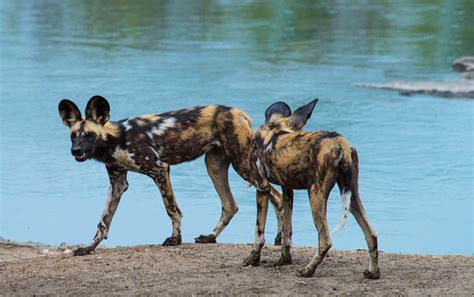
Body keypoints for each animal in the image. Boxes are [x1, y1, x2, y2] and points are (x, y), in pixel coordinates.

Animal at [57, 96, 284, 256]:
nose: (76, 151)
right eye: (73, 135)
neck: (117, 139)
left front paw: (175, 239)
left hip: (243, 165)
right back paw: (210, 237)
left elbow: (172, 209)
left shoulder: (160, 169)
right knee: (231, 205)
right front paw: (89, 248)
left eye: (89, 135)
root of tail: (239, 112)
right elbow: (103, 221)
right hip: (214, 167)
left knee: (276, 195)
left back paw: (280, 239)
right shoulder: (118, 183)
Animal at [244, 99, 382, 278]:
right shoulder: (288, 191)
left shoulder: (262, 187)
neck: (275, 127)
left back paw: (308, 270)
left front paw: (253, 260)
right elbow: (287, 232)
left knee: (325, 240)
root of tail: (341, 143)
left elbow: (259, 233)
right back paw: (373, 272)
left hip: (315, 195)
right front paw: (284, 260)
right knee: (371, 234)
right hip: (351, 197)